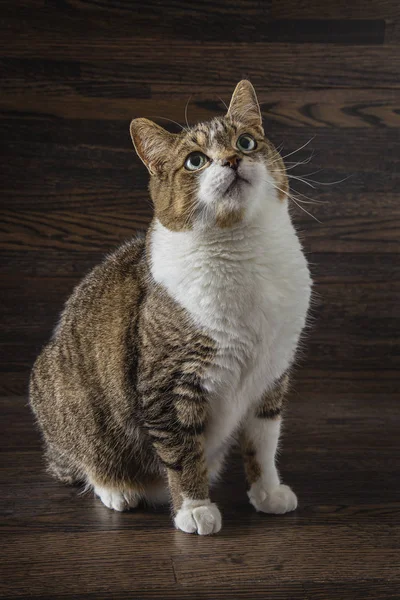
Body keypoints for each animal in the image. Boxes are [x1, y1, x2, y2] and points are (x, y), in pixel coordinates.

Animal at [30, 78, 312, 536]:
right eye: (195, 161)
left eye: (246, 141)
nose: (232, 159)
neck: (242, 251)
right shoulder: (169, 382)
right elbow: (181, 451)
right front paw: (194, 508)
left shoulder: (272, 373)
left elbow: (263, 442)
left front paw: (268, 492)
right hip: (61, 390)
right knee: (85, 459)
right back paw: (117, 489)